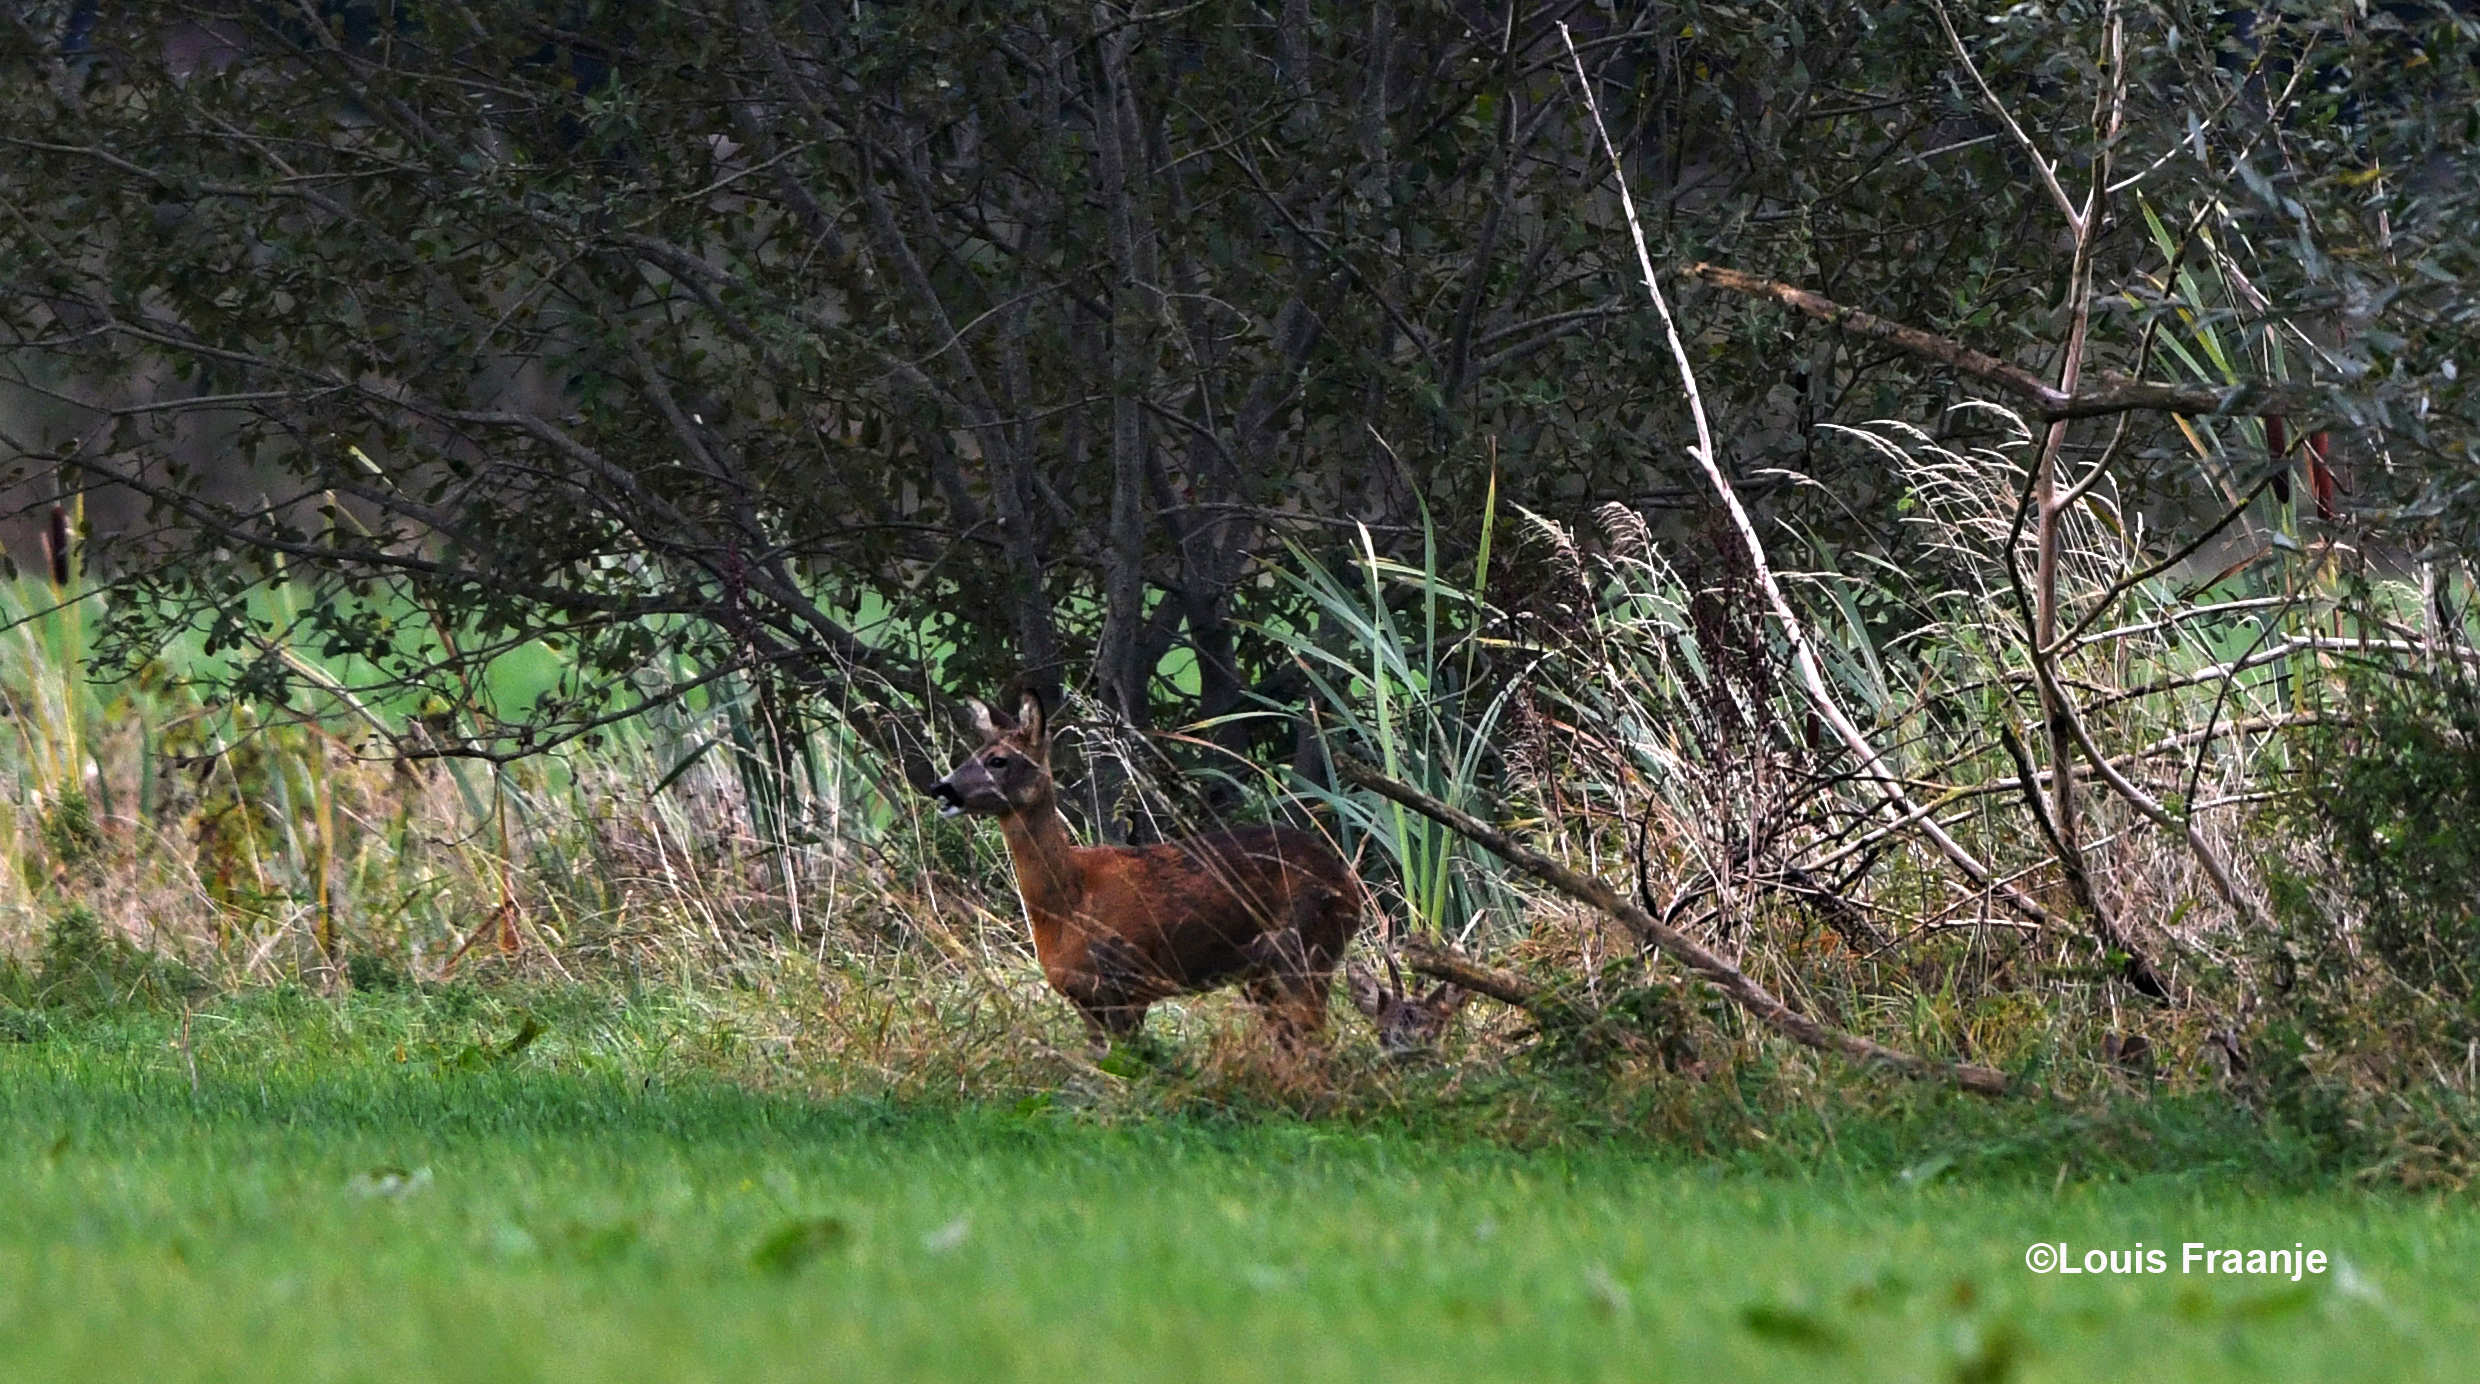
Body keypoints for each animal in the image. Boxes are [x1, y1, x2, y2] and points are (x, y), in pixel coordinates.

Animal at [932, 694, 1368, 1051]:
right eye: (972, 753)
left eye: (998, 760)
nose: (942, 788)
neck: (1069, 902)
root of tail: (1349, 885)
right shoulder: (1085, 1000)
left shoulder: (1128, 984)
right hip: (1265, 975)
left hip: (1308, 950)